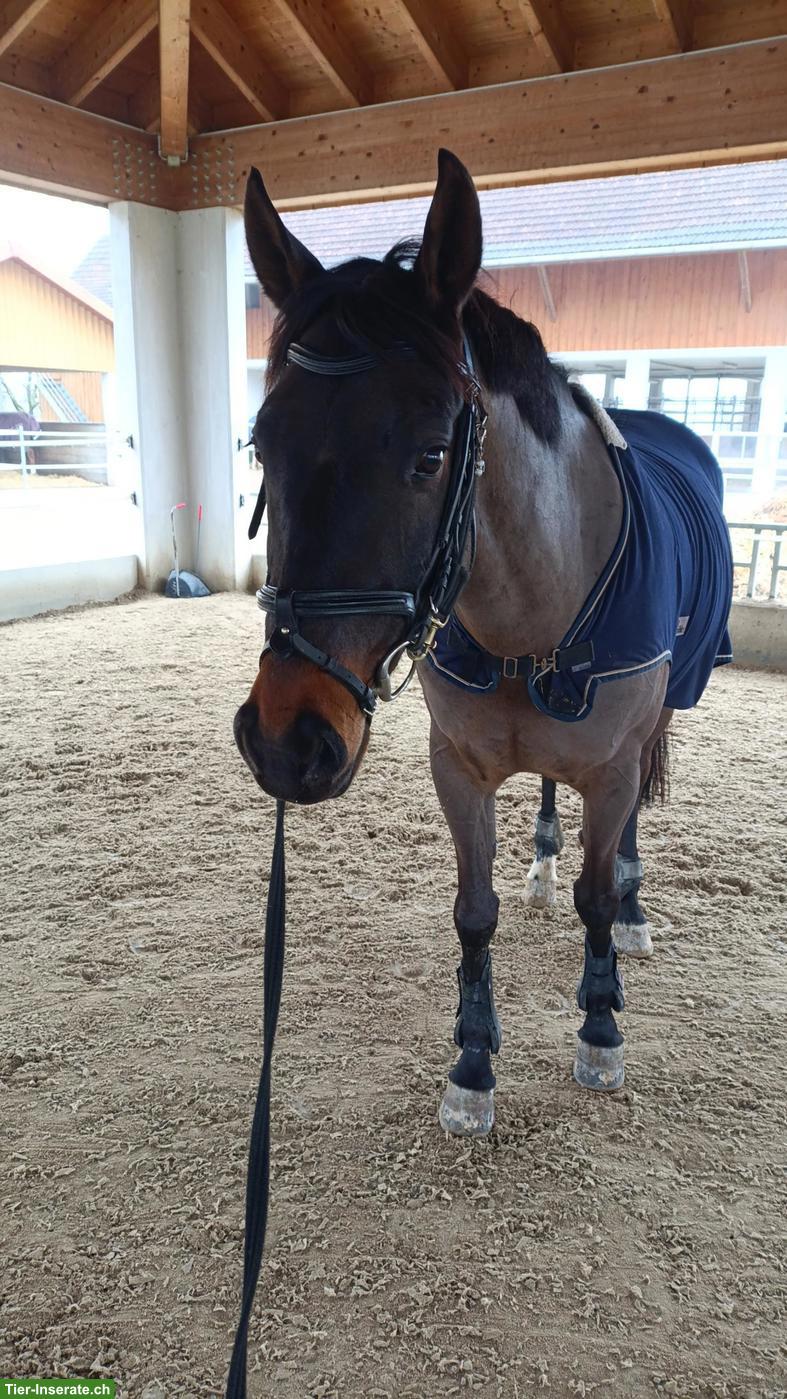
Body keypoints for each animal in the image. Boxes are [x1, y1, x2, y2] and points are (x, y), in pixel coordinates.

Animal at [234, 149, 733, 1139]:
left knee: (624, 834)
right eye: (263, 444)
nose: (286, 738)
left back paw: (630, 911)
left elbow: (593, 891)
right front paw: (471, 1063)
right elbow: (473, 911)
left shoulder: (611, 768)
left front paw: (599, 1026)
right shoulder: (456, 766)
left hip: (657, 719)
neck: (530, 615)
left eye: (431, 454)